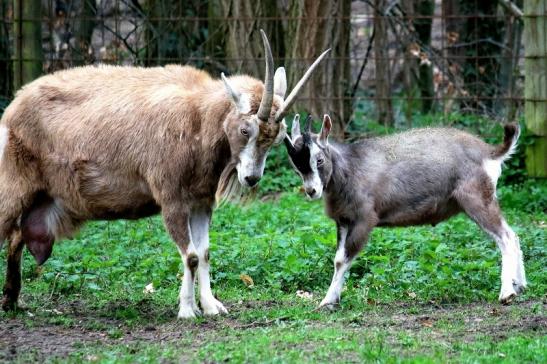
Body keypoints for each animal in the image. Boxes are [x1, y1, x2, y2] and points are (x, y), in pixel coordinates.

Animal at [0, 32, 330, 318]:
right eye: (245, 130)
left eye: (276, 138)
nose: (251, 178)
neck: (198, 118)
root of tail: (14, 108)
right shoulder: (172, 201)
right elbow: (191, 255)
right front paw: (187, 311)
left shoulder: (200, 203)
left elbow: (204, 252)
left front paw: (211, 306)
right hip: (13, 189)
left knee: (16, 236)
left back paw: (12, 300)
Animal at [284, 114, 524, 308]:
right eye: (297, 167)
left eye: (319, 159)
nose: (312, 191)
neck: (350, 168)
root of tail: (490, 152)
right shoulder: (343, 220)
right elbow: (337, 259)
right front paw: (328, 300)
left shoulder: (364, 219)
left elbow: (343, 259)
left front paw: (328, 300)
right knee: (514, 235)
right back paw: (520, 286)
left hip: (478, 199)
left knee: (505, 236)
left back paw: (507, 293)